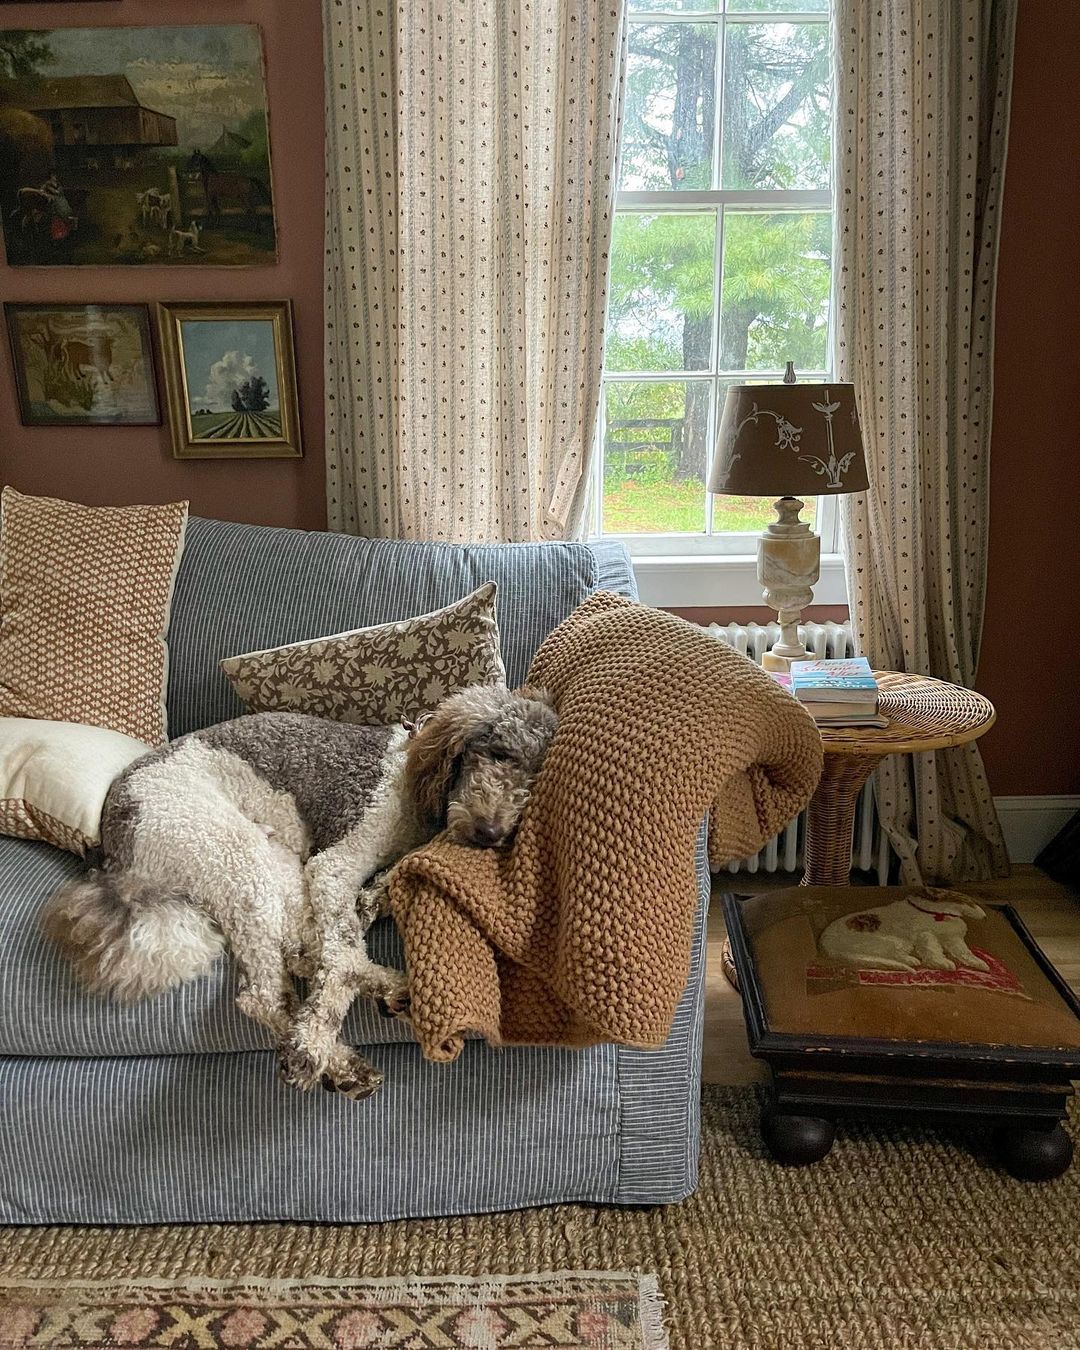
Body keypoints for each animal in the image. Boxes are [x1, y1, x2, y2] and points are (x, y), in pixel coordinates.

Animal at [43, 684, 557, 1099]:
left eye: (536, 779)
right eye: (499, 754)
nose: (491, 833)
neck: (412, 771)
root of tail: (111, 847)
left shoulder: (329, 873)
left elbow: (350, 934)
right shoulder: (334, 865)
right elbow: (342, 957)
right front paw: (311, 1043)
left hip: (277, 866)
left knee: (299, 954)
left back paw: (375, 1009)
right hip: (231, 855)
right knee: (265, 992)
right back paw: (331, 1049)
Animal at [818, 887, 989, 973]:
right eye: (971, 902)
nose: (986, 916)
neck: (938, 915)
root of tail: (826, 944)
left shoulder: (953, 940)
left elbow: (965, 953)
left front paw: (980, 964)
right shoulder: (924, 934)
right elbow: (932, 949)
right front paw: (941, 963)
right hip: (896, 942)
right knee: (895, 955)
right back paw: (913, 960)